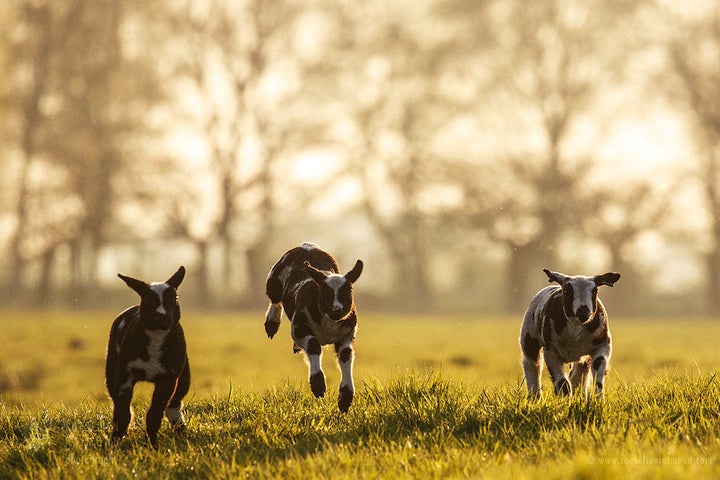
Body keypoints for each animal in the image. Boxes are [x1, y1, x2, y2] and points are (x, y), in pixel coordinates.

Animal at [105, 266, 190, 450]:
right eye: (148, 299)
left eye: (174, 298)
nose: (162, 317)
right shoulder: (125, 375)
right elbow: (122, 412)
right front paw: (116, 440)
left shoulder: (168, 378)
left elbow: (155, 412)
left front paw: (153, 444)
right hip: (112, 369)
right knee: (116, 400)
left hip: (184, 377)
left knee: (174, 404)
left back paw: (180, 428)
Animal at [264, 244, 362, 412]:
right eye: (324, 291)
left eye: (348, 291)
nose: (336, 309)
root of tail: (308, 246)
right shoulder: (298, 328)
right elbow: (313, 345)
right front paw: (318, 386)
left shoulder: (347, 333)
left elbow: (346, 356)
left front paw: (345, 398)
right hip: (274, 278)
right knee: (275, 299)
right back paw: (271, 324)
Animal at [520, 270, 620, 398]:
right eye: (567, 291)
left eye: (595, 291)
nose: (583, 311)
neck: (575, 330)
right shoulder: (551, 352)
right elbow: (563, 384)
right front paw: (565, 401)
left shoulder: (603, 345)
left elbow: (597, 375)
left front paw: (598, 400)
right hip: (529, 337)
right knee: (532, 365)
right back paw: (535, 397)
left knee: (579, 371)